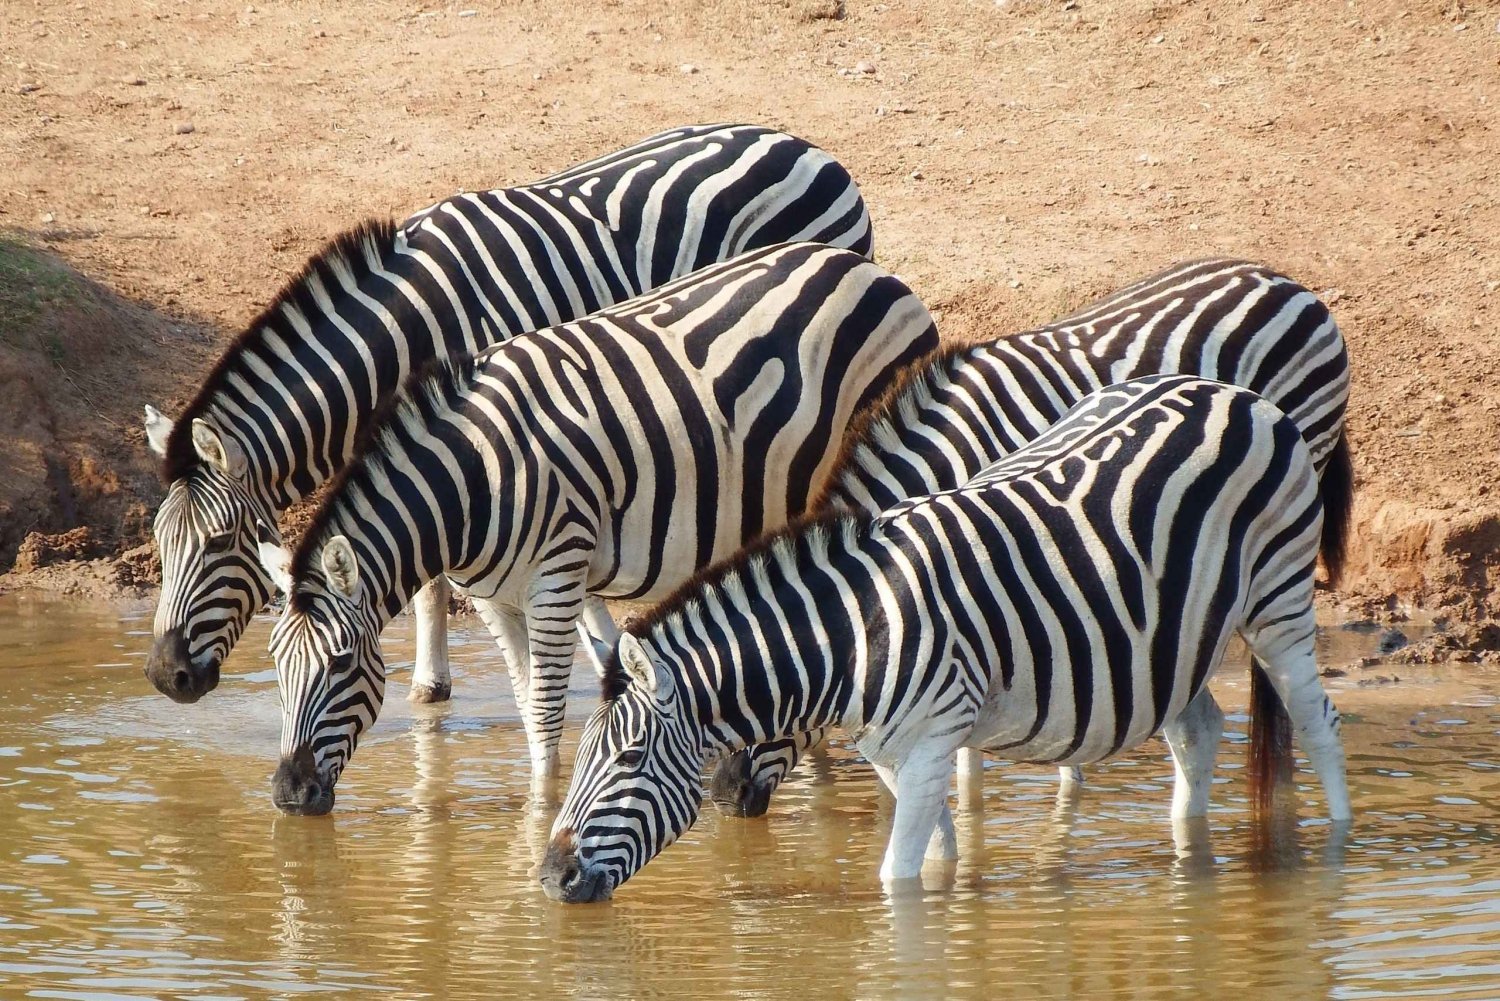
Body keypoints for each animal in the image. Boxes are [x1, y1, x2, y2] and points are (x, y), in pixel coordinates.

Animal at [138, 123, 876, 705]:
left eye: (218, 543)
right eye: (159, 542)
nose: (165, 677)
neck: (402, 333)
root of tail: (809, 148)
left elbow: (450, 575)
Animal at [256, 240, 936, 816]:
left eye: (341, 664)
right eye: (276, 665)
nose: (289, 794)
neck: (472, 481)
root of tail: (872, 271)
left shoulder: (557, 577)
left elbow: (547, 711)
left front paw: (540, 815)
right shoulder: (493, 597)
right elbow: (527, 703)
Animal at [537, 373, 1350, 900]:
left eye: (630, 758)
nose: (550, 877)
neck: (854, 630)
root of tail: (1236, 394)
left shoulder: (933, 739)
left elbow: (896, 878)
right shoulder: (894, 753)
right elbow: (935, 860)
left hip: (1278, 598)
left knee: (1316, 722)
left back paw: (1338, 849)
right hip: (1172, 640)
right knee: (1199, 729)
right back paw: (1190, 853)